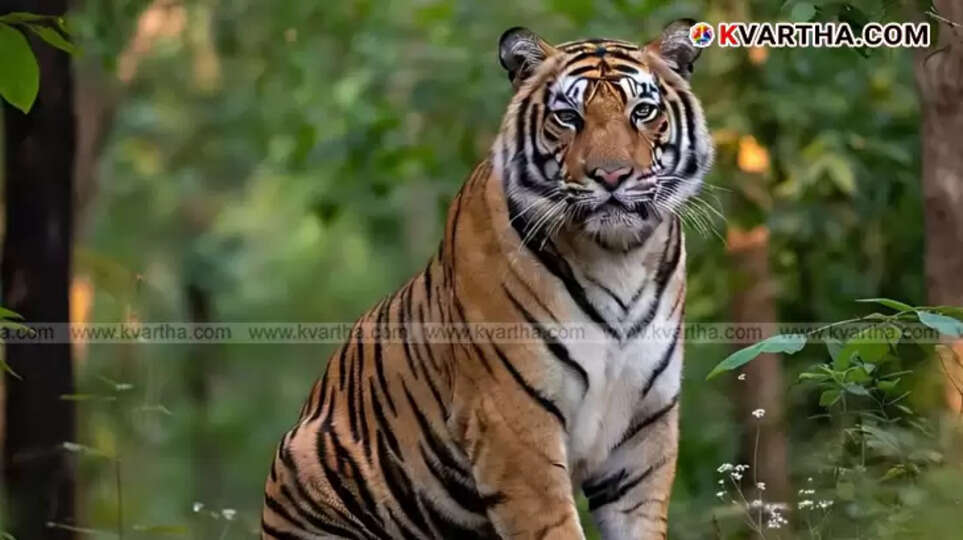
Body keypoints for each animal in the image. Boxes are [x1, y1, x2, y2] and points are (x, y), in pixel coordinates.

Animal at [262, 19, 712, 540]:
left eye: (643, 112)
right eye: (568, 117)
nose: (612, 176)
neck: (617, 255)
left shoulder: (645, 426)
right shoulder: (512, 421)